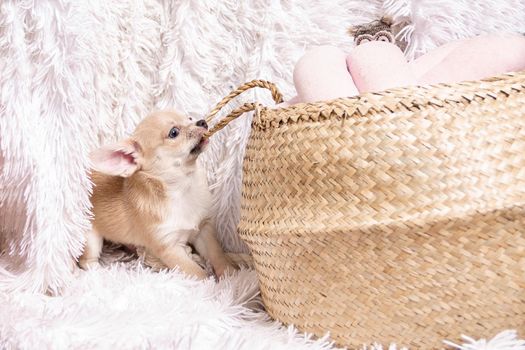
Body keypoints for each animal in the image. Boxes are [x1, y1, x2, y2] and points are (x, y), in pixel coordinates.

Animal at [80, 110, 235, 280]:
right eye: (174, 133)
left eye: (189, 118)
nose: (202, 122)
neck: (183, 188)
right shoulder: (169, 248)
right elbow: (197, 273)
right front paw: (210, 285)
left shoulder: (204, 230)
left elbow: (217, 254)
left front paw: (230, 275)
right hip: (91, 239)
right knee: (86, 262)